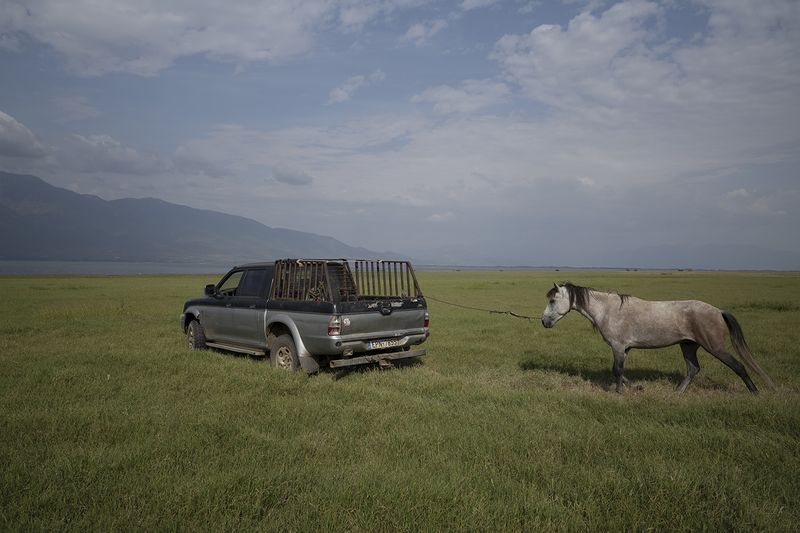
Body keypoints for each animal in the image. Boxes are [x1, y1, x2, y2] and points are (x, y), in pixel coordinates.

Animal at [541, 282, 775, 394]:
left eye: (552, 300)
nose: (543, 321)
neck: (608, 310)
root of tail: (718, 311)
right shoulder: (624, 349)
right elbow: (618, 371)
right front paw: (636, 387)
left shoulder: (618, 347)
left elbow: (617, 370)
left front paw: (619, 391)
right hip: (688, 346)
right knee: (693, 369)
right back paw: (678, 392)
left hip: (715, 347)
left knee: (738, 366)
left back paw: (754, 392)